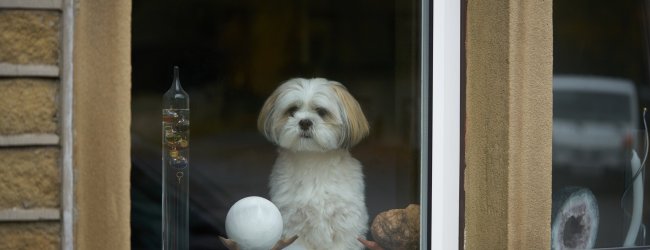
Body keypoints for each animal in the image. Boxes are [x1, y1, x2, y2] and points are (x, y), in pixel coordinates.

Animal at [258, 78, 370, 250]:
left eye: (321, 112)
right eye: (292, 110)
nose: (305, 122)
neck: (313, 159)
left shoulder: (345, 223)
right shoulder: (293, 225)